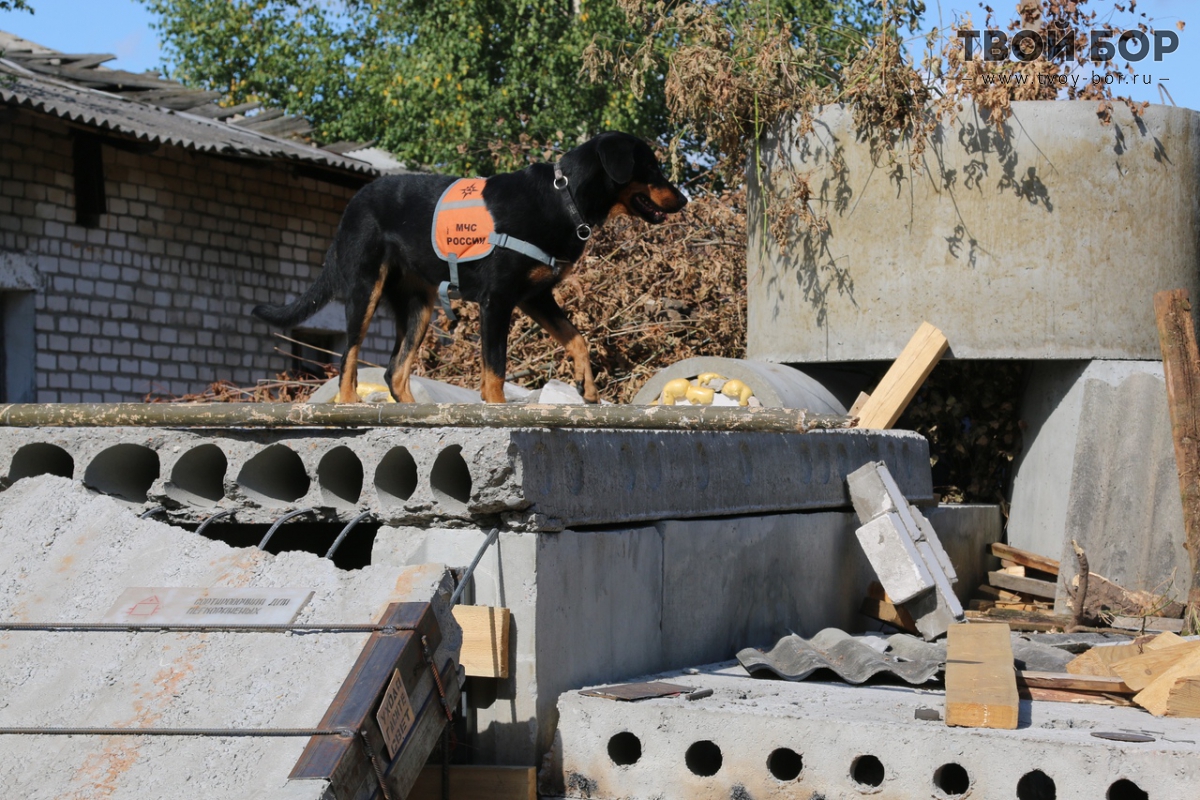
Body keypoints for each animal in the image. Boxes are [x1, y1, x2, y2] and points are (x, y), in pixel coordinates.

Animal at [252, 135, 686, 407]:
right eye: (652, 167)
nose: (683, 199)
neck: (565, 198)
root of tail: (351, 206)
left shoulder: (535, 297)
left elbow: (577, 338)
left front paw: (586, 385)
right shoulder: (498, 301)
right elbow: (495, 368)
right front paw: (496, 407)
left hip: (419, 307)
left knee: (395, 371)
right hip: (366, 288)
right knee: (350, 358)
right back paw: (348, 404)